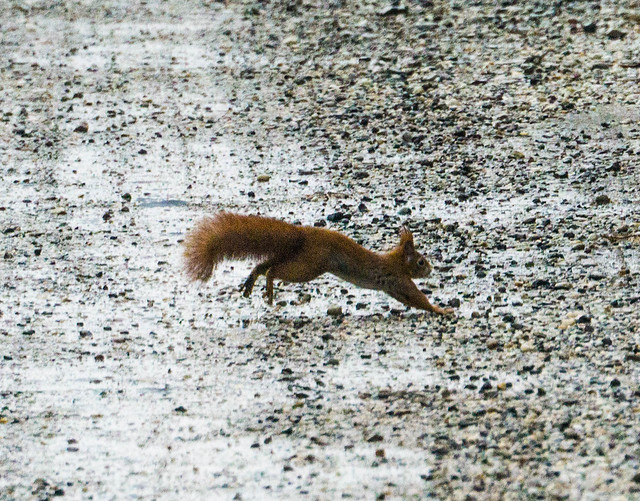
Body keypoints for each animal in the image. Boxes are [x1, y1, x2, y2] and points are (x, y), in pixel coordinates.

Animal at [184, 210, 456, 312]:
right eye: (420, 262)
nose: (431, 270)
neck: (395, 261)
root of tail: (302, 234)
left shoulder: (393, 287)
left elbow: (409, 300)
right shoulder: (398, 279)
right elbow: (417, 298)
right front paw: (442, 310)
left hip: (296, 256)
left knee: (263, 265)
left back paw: (251, 283)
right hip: (308, 265)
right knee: (273, 270)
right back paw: (269, 290)